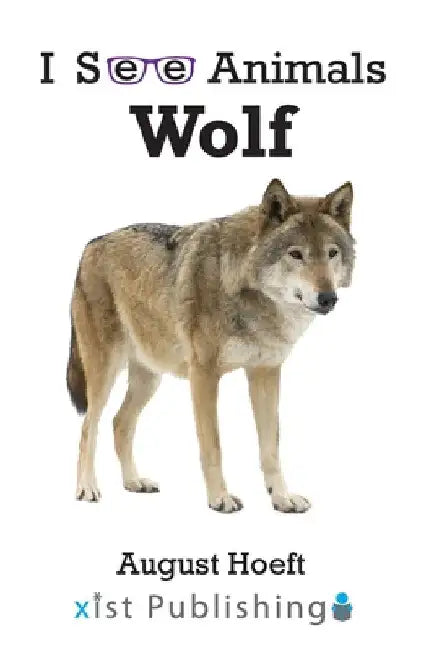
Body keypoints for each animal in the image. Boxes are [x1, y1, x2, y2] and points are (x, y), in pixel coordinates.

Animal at [67, 179, 354, 513]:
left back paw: (134, 482)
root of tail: (91, 244)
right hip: (104, 372)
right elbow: (213, 445)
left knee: (119, 423)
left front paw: (282, 498)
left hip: (149, 378)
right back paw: (87, 488)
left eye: (332, 253)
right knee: (88, 427)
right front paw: (220, 498)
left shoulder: (265, 373)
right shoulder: (203, 375)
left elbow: (270, 447)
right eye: (296, 254)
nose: (328, 298)